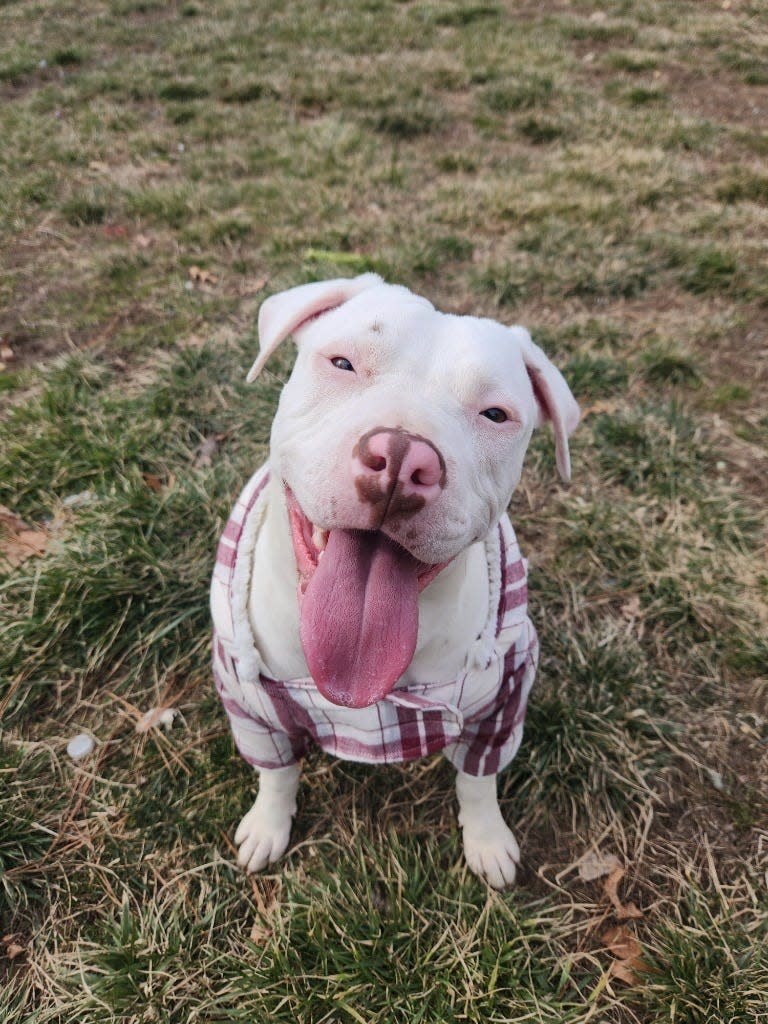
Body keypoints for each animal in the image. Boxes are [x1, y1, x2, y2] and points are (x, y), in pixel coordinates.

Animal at [210, 274, 577, 888]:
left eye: (495, 414)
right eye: (342, 362)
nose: (404, 458)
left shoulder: (500, 701)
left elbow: (477, 780)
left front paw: (487, 840)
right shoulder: (252, 703)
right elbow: (277, 773)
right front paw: (267, 826)